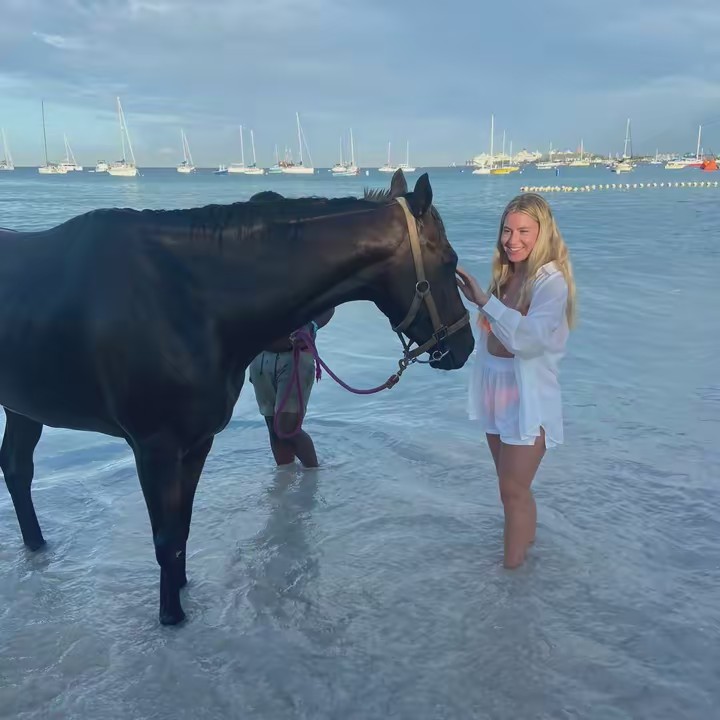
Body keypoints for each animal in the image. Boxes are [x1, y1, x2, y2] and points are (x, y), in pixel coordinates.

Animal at [0, 169, 474, 625]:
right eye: (450, 262)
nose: (465, 346)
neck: (191, 299)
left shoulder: (197, 441)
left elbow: (182, 528)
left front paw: (182, 587)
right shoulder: (154, 446)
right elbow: (165, 536)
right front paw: (171, 616)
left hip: (24, 408)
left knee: (17, 468)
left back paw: (37, 547)